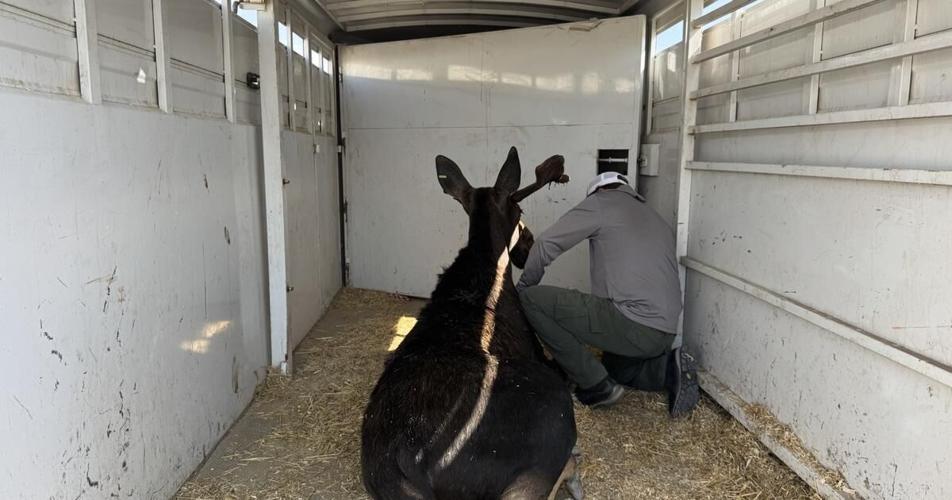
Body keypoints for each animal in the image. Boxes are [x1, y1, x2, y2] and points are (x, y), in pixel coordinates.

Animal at [361, 147, 582, 500]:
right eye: (519, 209)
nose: (529, 244)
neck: (487, 263)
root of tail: (410, 468)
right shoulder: (538, 350)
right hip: (550, 417)